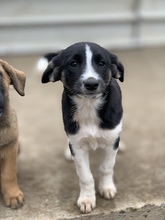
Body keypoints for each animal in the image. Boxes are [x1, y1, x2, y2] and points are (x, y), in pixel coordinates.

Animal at [41, 42, 124, 214]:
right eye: (73, 64)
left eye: (102, 63)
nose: (91, 84)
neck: (89, 106)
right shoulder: (77, 146)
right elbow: (85, 176)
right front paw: (87, 199)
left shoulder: (111, 142)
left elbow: (107, 167)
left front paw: (106, 188)